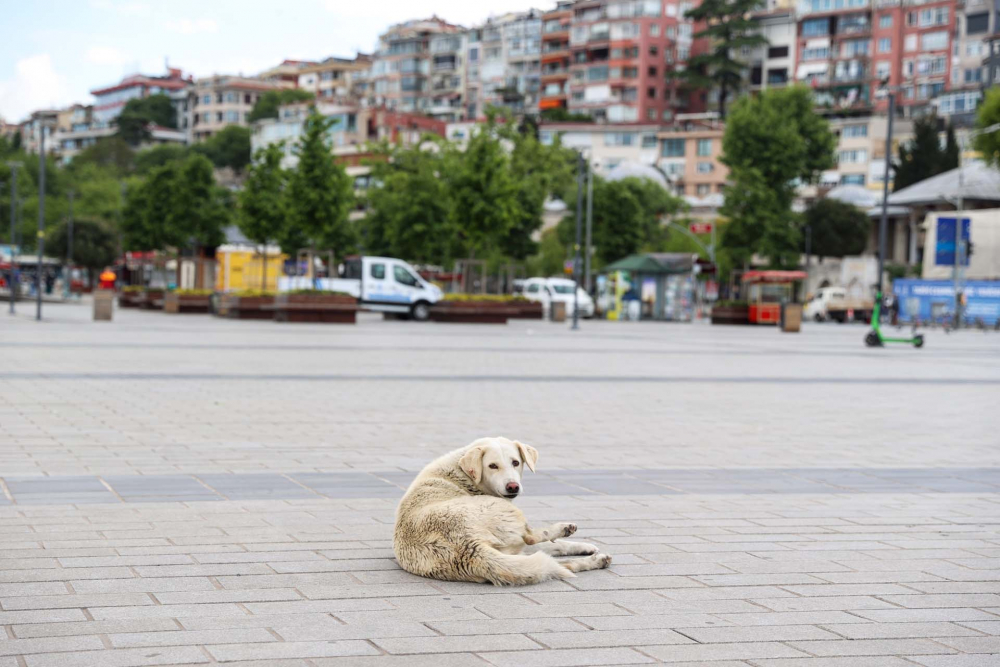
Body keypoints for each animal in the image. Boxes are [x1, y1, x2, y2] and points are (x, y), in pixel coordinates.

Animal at [394, 438, 612, 584]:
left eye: (516, 462)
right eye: (492, 466)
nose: (513, 486)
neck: (462, 473)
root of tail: (468, 548)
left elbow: (557, 547)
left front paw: (585, 546)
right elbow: (546, 541)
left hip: (512, 553)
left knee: (554, 564)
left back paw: (596, 560)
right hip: (506, 512)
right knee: (533, 538)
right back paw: (564, 528)